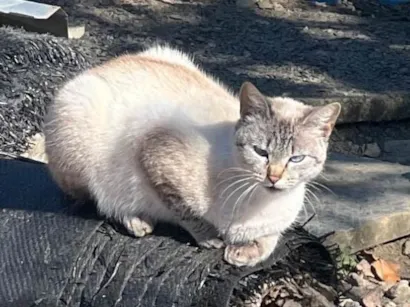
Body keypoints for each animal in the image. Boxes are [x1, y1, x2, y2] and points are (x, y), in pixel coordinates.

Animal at [43, 44, 342, 268]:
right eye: (261, 152)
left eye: (296, 159)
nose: (274, 177)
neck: (258, 203)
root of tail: (101, 67)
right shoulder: (155, 154)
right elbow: (188, 213)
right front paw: (213, 240)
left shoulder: (273, 225)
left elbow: (269, 240)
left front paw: (242, 253)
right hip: (81, 122)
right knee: (97, 200)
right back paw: (137, 220)